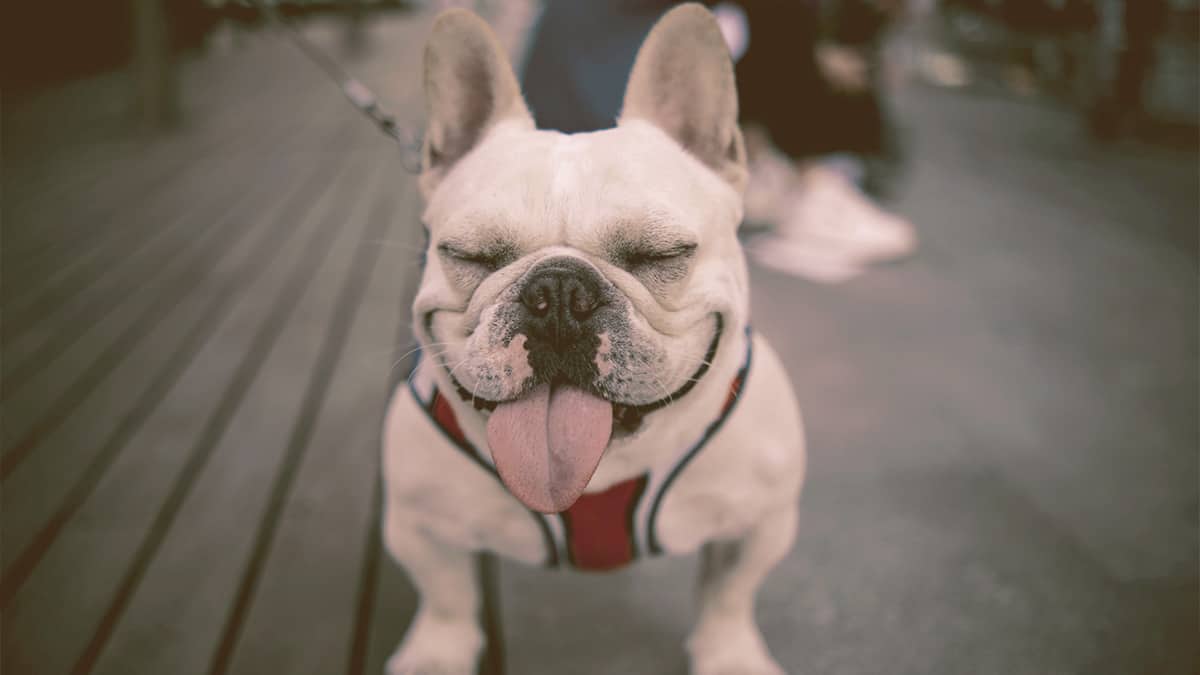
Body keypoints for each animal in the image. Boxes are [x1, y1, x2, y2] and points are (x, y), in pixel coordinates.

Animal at [381, 3, 806, 667]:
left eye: (661, 253)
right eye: (470, 255)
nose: (558, 295)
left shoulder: (759, 524)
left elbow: (730, 597)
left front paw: (730, 657)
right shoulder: (418, 525)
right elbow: (445, 598)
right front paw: (436, 656)